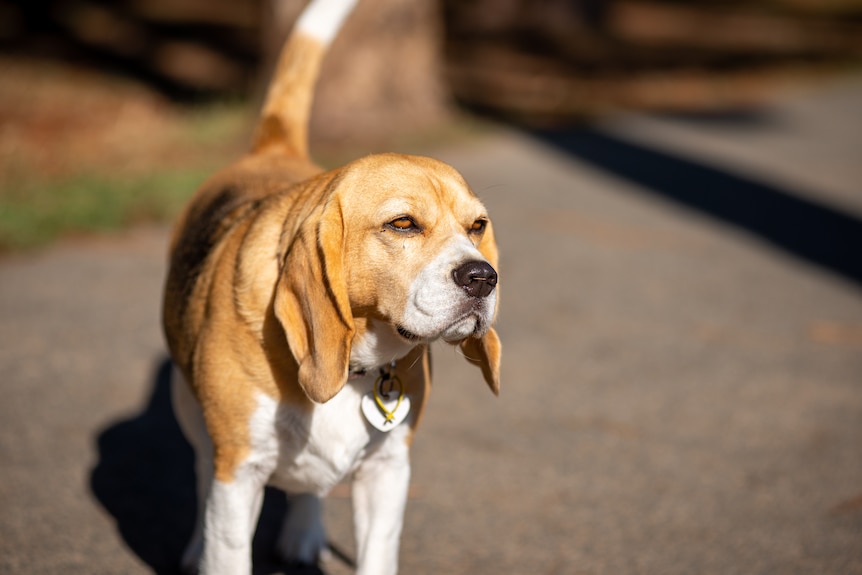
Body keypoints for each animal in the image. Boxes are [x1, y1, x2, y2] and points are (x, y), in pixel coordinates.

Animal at [164, 1, 500, 575]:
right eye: (403, 224)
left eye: (476, 226)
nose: (482, 278)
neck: (356, 368)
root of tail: (273, 149)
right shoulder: (238, 473)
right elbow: (225, 538)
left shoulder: (388, 471)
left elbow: (377, 554)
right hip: (186, 405)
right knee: (200, 467)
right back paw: (194, 549)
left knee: (310, 490)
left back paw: (304, 535)